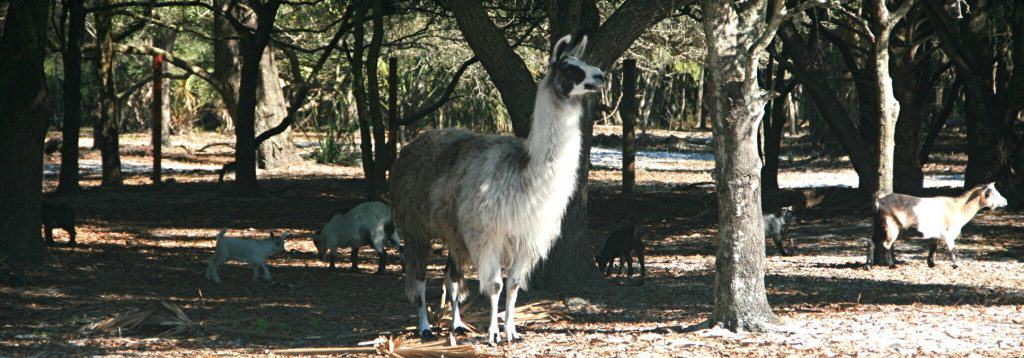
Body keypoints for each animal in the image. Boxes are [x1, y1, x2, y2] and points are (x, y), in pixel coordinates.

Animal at [389, 34, 602, 343]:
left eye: (584, 62)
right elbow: (495, 286)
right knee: (419, 278)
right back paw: (425, 327)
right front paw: (492, 334)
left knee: (451, 277)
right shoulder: (488, 234)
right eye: (569, 67)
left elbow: (513, 285)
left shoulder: (526, 237)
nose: (600, 75)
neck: (526, 175)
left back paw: (456, 325)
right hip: (415, 224)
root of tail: (410, 146)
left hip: (453, 231)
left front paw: (511, 331)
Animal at [872, 183, 1007, 267]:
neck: (958, 208)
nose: (1005, 201)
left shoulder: (936, 234)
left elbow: (933, 247)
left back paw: (870, 263)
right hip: (891, 226)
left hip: (880, 225)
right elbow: (952, 249)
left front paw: (931, 263)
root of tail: (880, 201)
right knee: (886, 244)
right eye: (993, 194)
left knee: (873, 241)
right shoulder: (948, 234)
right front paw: (955, 265)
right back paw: (891, 265)